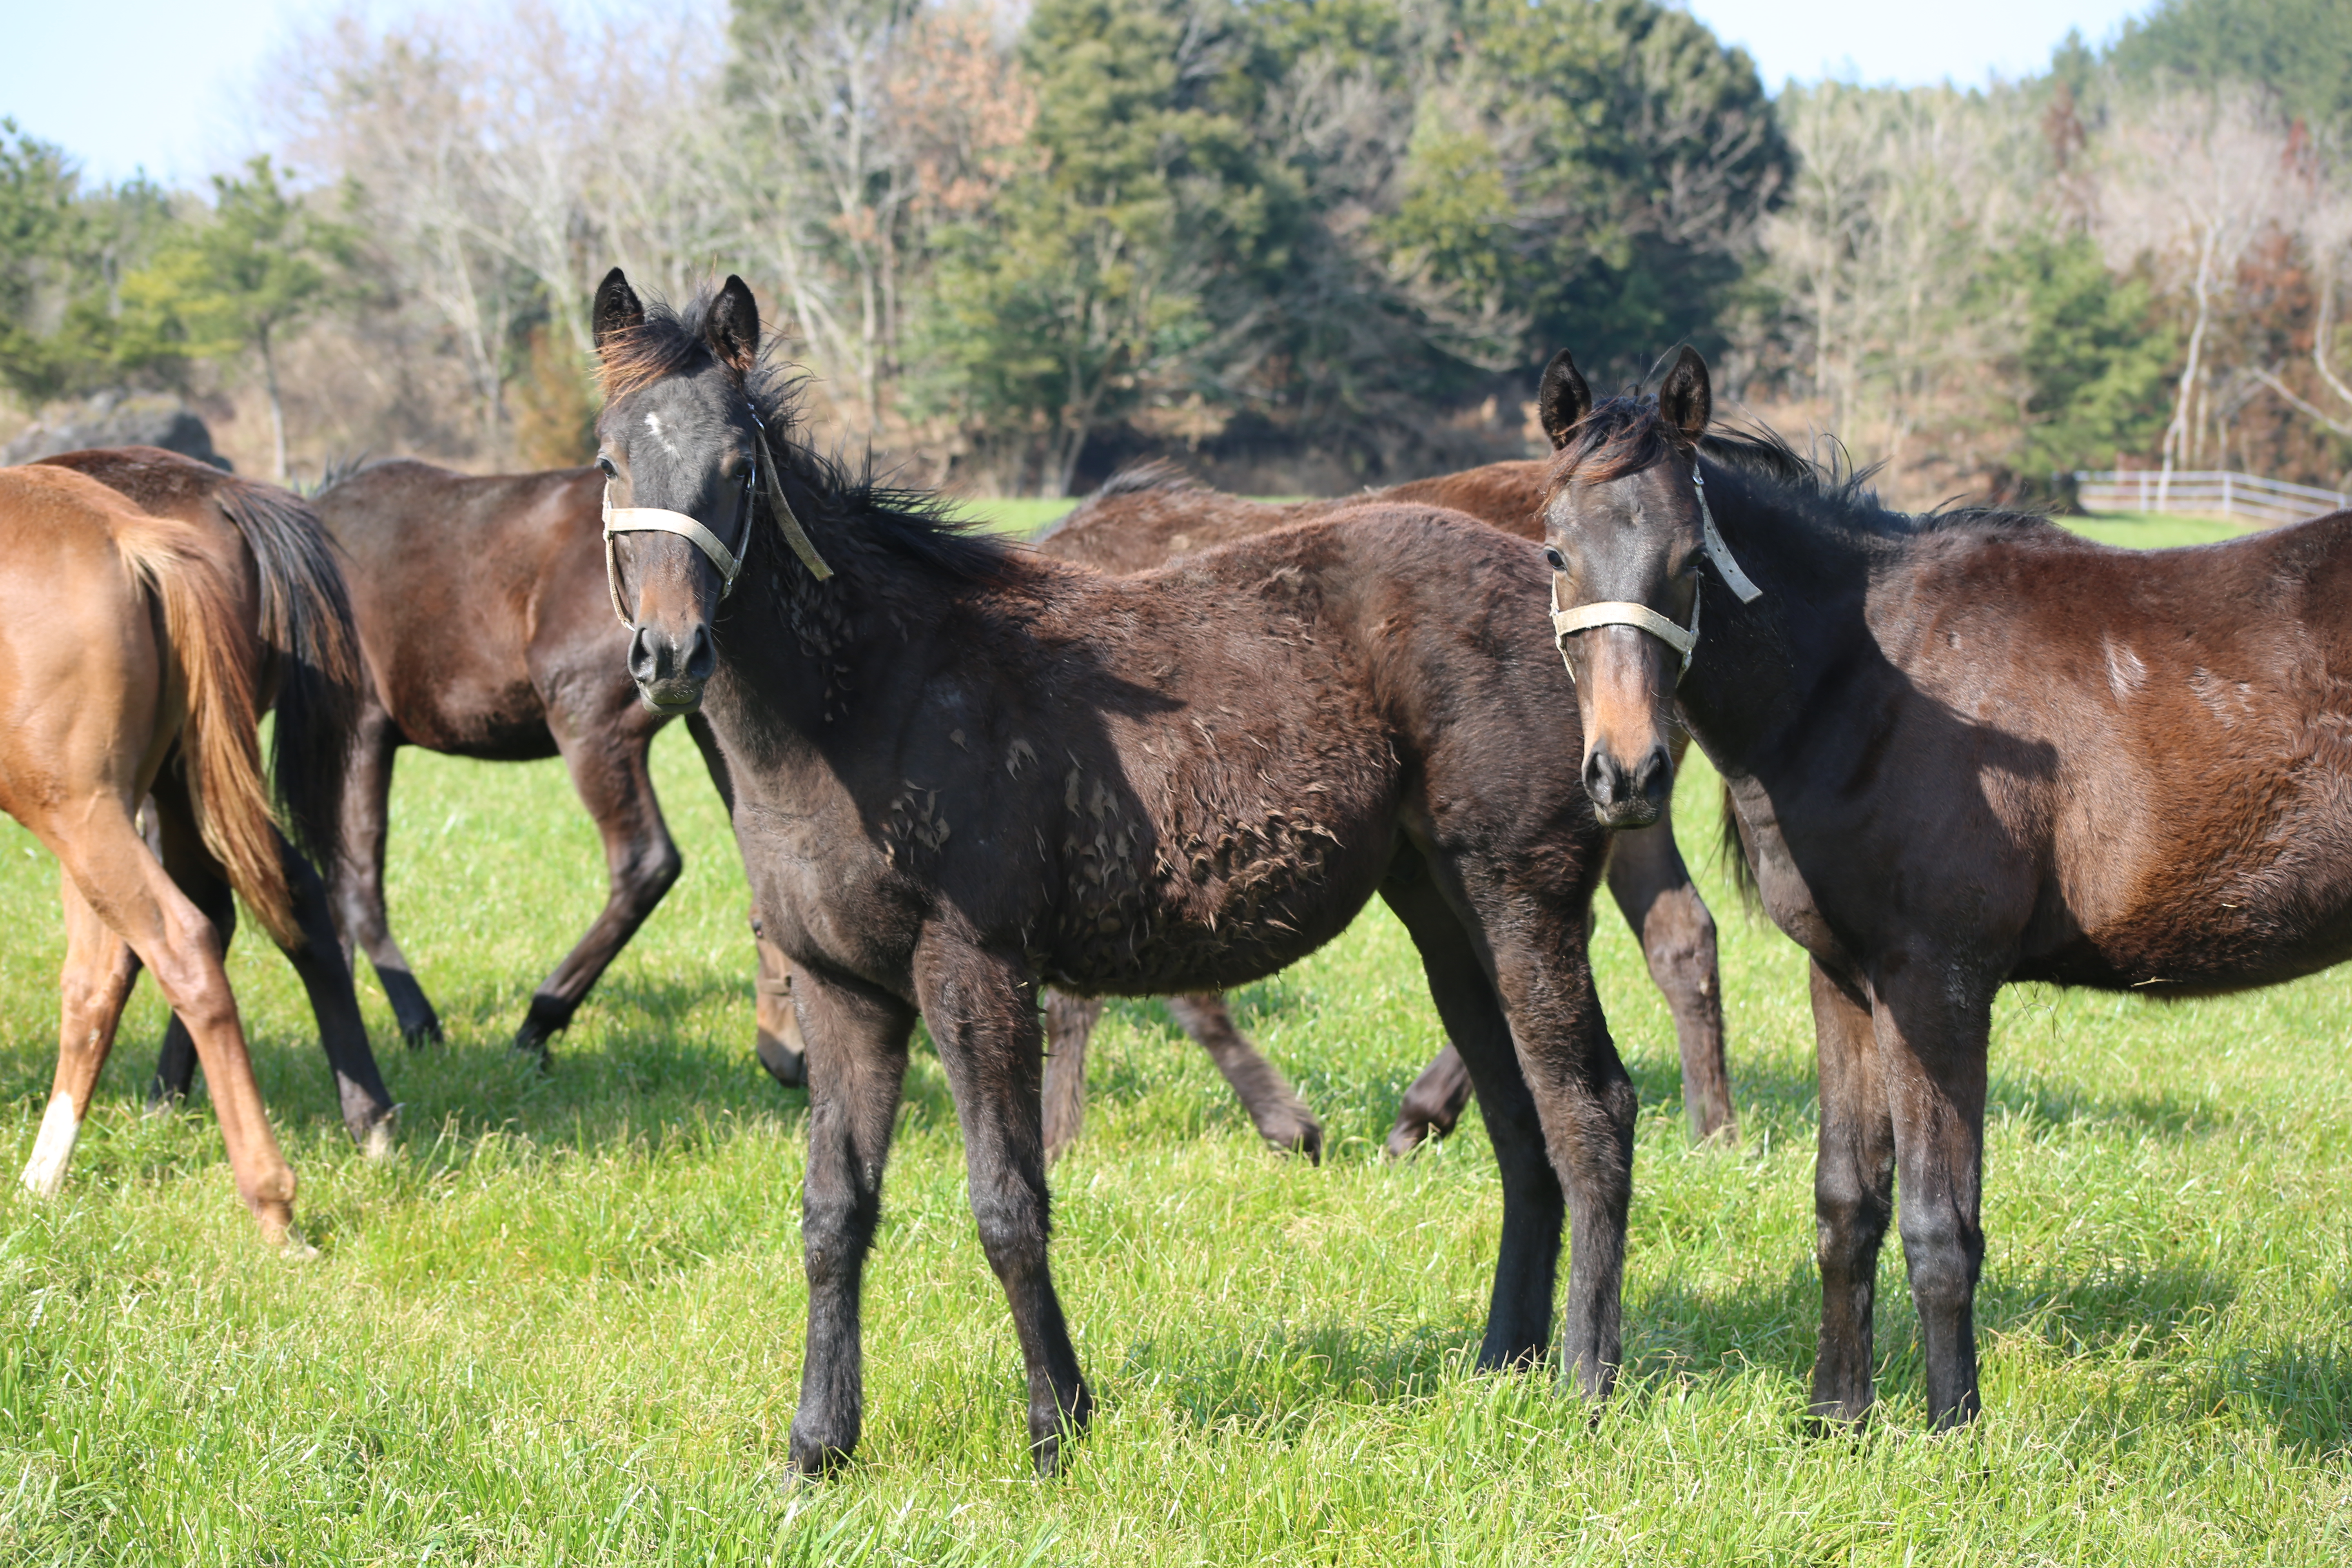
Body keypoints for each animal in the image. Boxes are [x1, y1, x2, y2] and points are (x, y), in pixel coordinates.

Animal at [1, 461, 313, 1241]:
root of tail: (126, 533)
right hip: (99, 814)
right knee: (99, 976)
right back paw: (41, 1183)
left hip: (80, 814)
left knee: (179, 946)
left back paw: (273, 1205)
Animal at [588, 272, 1637, 1486]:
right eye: (609, 461)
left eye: (739, 468)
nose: (670, 655)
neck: (864, 704)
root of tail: (1553, 600)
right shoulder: (840, 988)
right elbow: (831, 1212)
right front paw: (817, 1446)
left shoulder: (974, 970)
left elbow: (1007, 1203)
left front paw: (1057, 1426)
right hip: (1442, 911)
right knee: (1519, 1125)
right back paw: (1499, 1363)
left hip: (1524, 896)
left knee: (1589, 1111)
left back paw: (1586, 1386)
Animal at [1533, 345, 2352, 1439]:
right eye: (1555, 552)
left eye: (1691, 559)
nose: (1625, 775)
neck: (1866, 679)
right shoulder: (1845, 980)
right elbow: (1847, 1202)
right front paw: (1836, 1415)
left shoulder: (1938, 983)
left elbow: (1938, 1226)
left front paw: (1951, 1427)